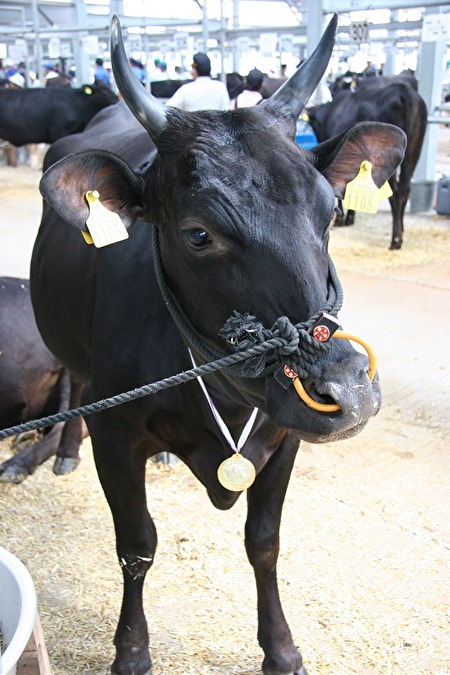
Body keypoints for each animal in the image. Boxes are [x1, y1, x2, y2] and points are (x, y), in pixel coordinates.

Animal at [29, 15, 406, 675]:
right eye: (198, 234)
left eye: (329, 210)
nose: (347, 388)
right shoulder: (115, 431)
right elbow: (137, 544)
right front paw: (131, 651)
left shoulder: (284, 432)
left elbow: (265, 542)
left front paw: (280, 648)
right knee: (73, 378)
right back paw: (66, 451)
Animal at [308, 72, 428, 251]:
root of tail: (405, 93)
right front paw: (350, 218)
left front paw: (343, 219)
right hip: (414, 149)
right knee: (405, 189)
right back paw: (401, 234)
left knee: (395, 193)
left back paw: (395, 240)